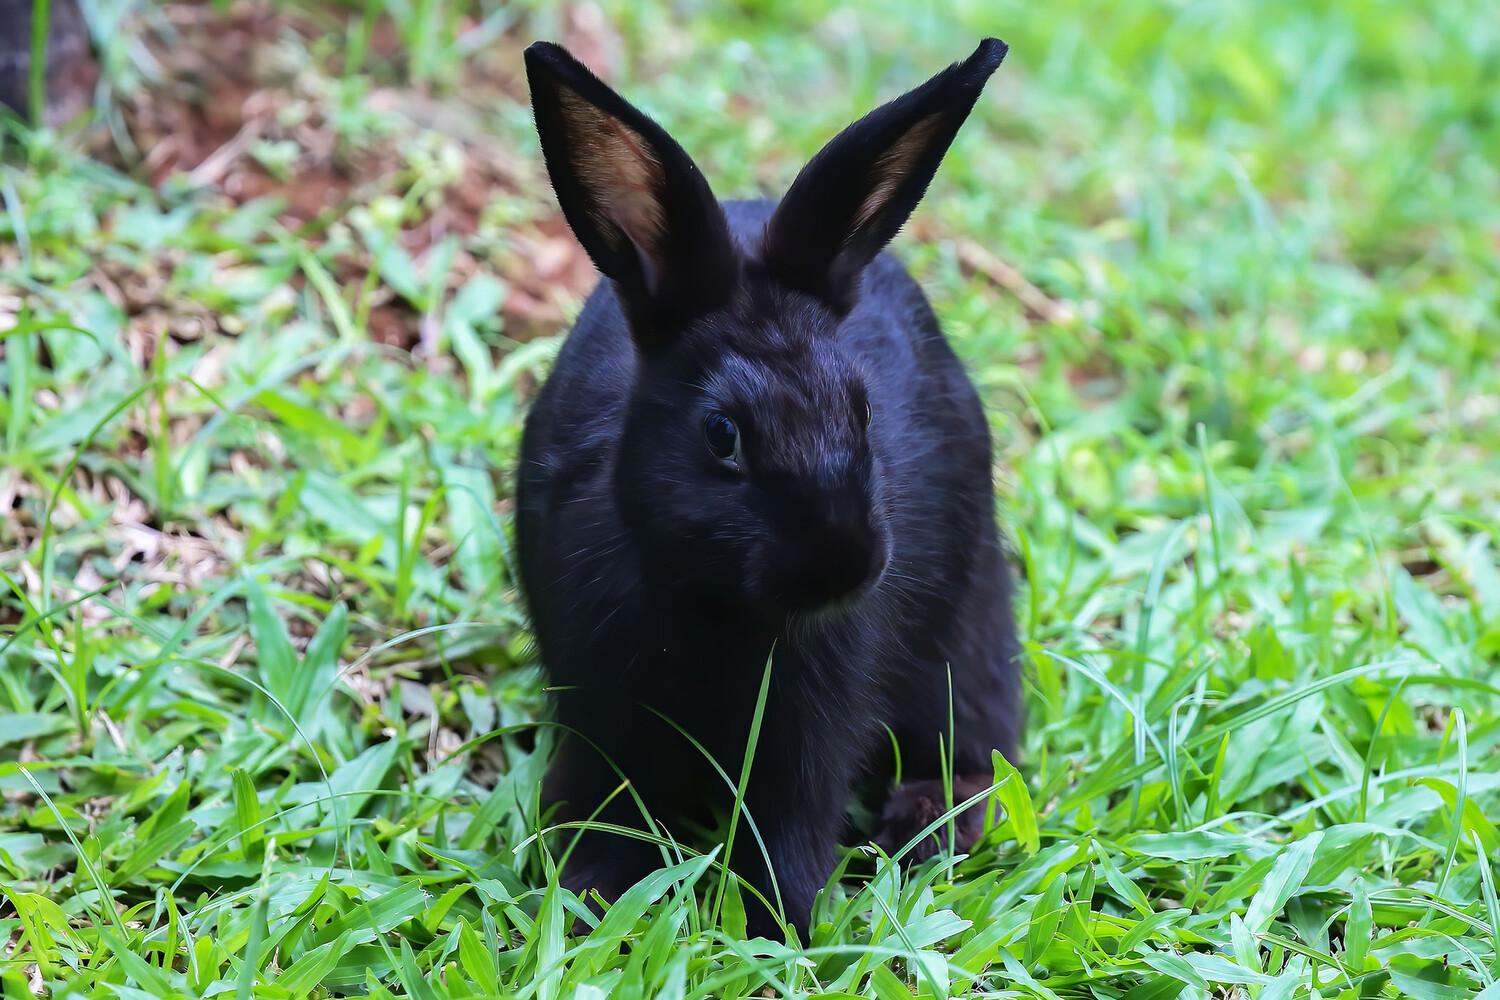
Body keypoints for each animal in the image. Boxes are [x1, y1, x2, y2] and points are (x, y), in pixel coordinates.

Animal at [516, 39, 1020, 941]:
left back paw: (925, 828)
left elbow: (788, 830)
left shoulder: (807, 738)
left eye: (861, 408)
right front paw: (592, 904)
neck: (718, 610)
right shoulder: (600, 714)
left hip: (969, 632)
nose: (844, 567)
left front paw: (773, 931)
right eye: (722, 434)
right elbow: (605, 809)